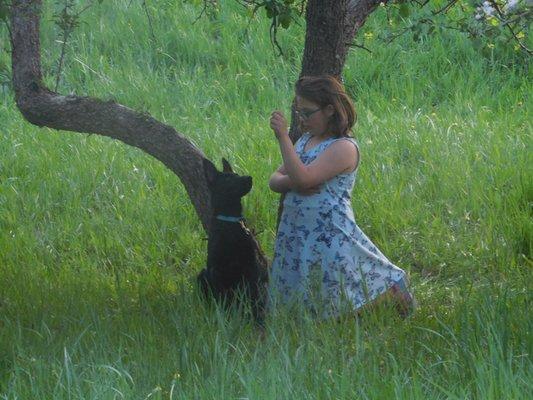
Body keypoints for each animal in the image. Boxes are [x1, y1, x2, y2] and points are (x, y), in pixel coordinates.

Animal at [197, 158, 268, 326]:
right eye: (229, 179)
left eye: (236, 174)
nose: (249, 177)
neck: (230, 221)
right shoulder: (216, 271)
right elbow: (222, 299)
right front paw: (225, 319)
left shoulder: (252, 267)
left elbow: (255, 297)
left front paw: (258, 319)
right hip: (202, 275)